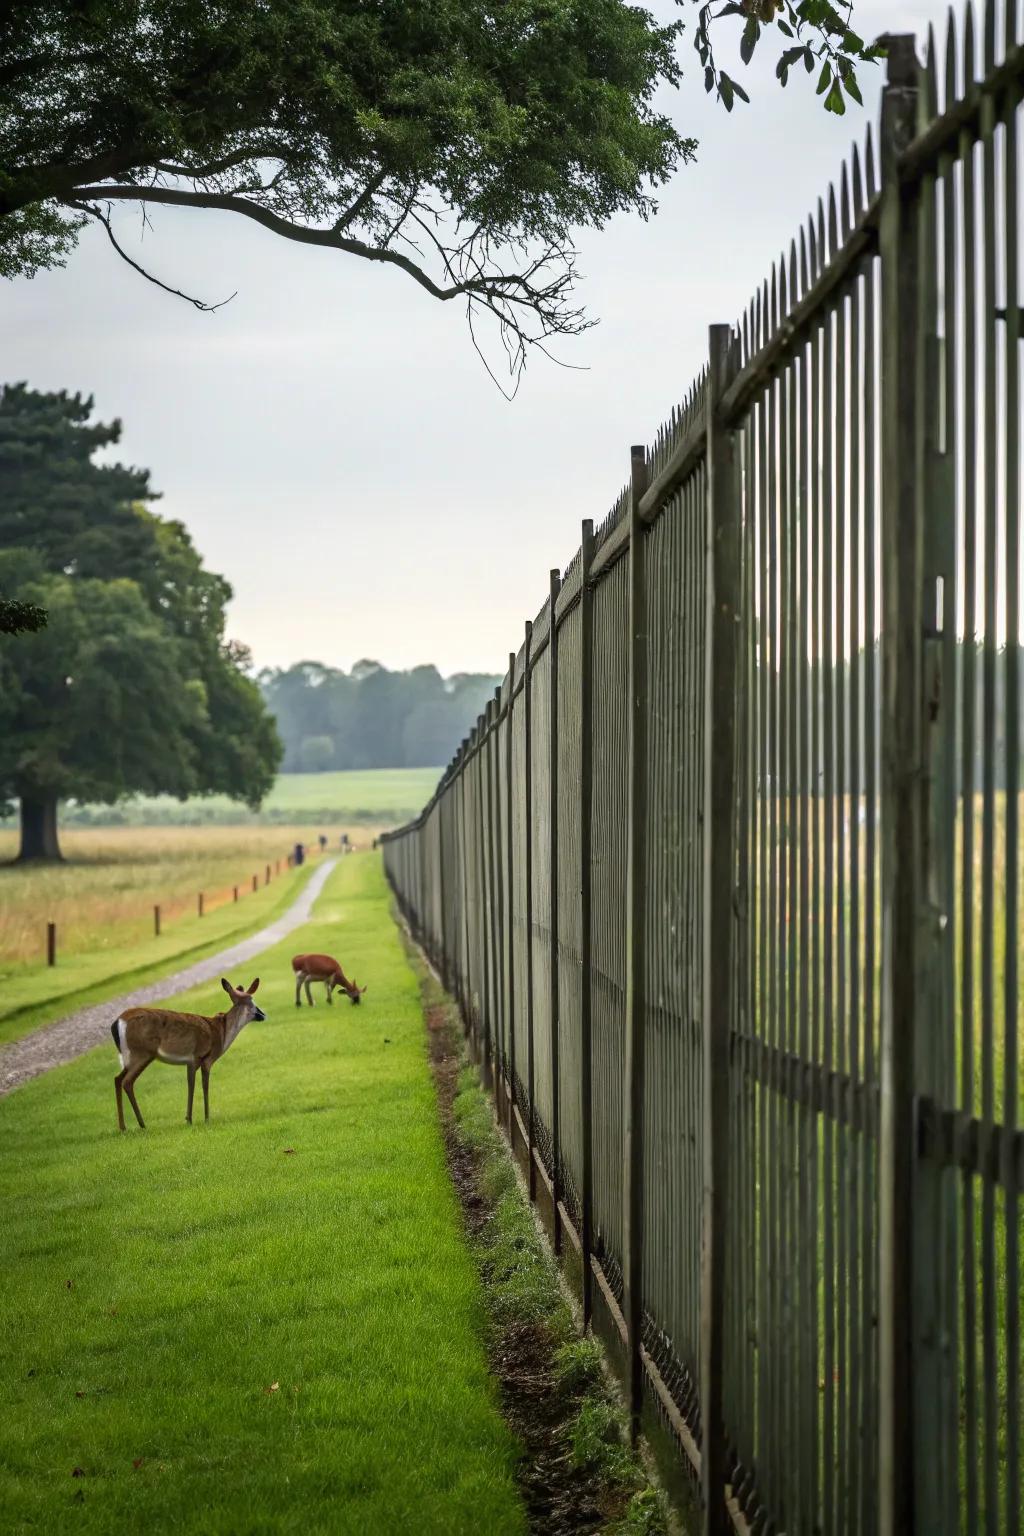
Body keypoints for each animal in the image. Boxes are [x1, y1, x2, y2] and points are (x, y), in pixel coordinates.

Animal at [110, 976, 267, 1136]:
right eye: (251, 1000)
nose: (263, 1014)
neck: (221, 1034)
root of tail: (117, 1023)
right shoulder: (202, 1058)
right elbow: (202, 1085)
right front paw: (203, 1119)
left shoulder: (191, 1061)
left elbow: (190, 1084)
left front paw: (189, 1119)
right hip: (142, 1053)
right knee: (127, 1082)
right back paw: (141, 1124)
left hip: (132, 1057)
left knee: (117, 1079)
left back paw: (123, 1127)